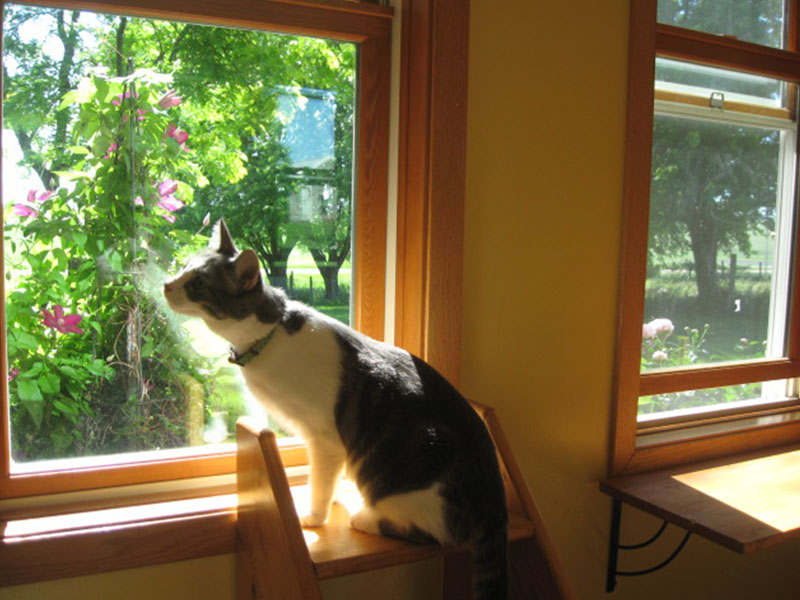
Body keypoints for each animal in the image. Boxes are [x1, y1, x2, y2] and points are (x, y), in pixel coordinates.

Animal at [162, 220, 506, 600]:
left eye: (196, 283)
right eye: (183, 268)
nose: (166, 284)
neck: (269, 334)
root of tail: (493, 491)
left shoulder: (324, 438)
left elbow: (320, 480)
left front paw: (314, 515)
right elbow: (330, 476)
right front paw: (335, 497)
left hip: (422, 460)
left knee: (435, 533)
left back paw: (364, 515)